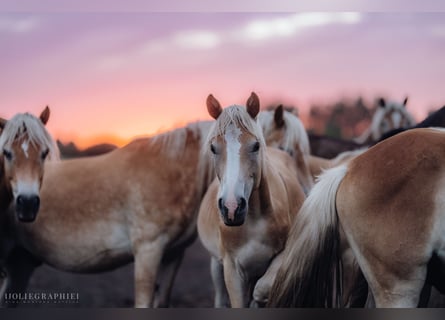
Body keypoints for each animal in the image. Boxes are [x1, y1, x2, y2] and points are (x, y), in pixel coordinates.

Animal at [197, 92, 306, 308]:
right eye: (213, 148)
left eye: (255, 146)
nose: (232, 207)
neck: (255, 220)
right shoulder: (231, 269)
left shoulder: (282, 257)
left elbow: (261, 289)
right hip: (216, 265)